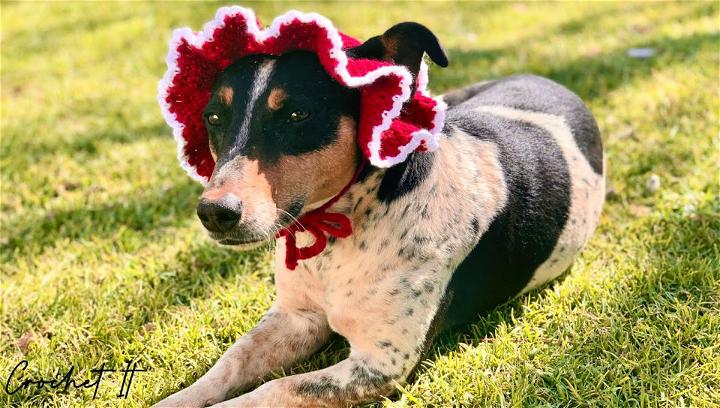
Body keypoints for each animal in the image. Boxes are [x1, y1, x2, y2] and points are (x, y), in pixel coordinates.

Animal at [155, 19, 604, 408]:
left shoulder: (379, 364)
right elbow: (231, 361)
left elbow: (275, 389)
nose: (214, 212)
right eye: (213, 118)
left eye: (298, 115)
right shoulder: (296, 317)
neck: (337, 230)